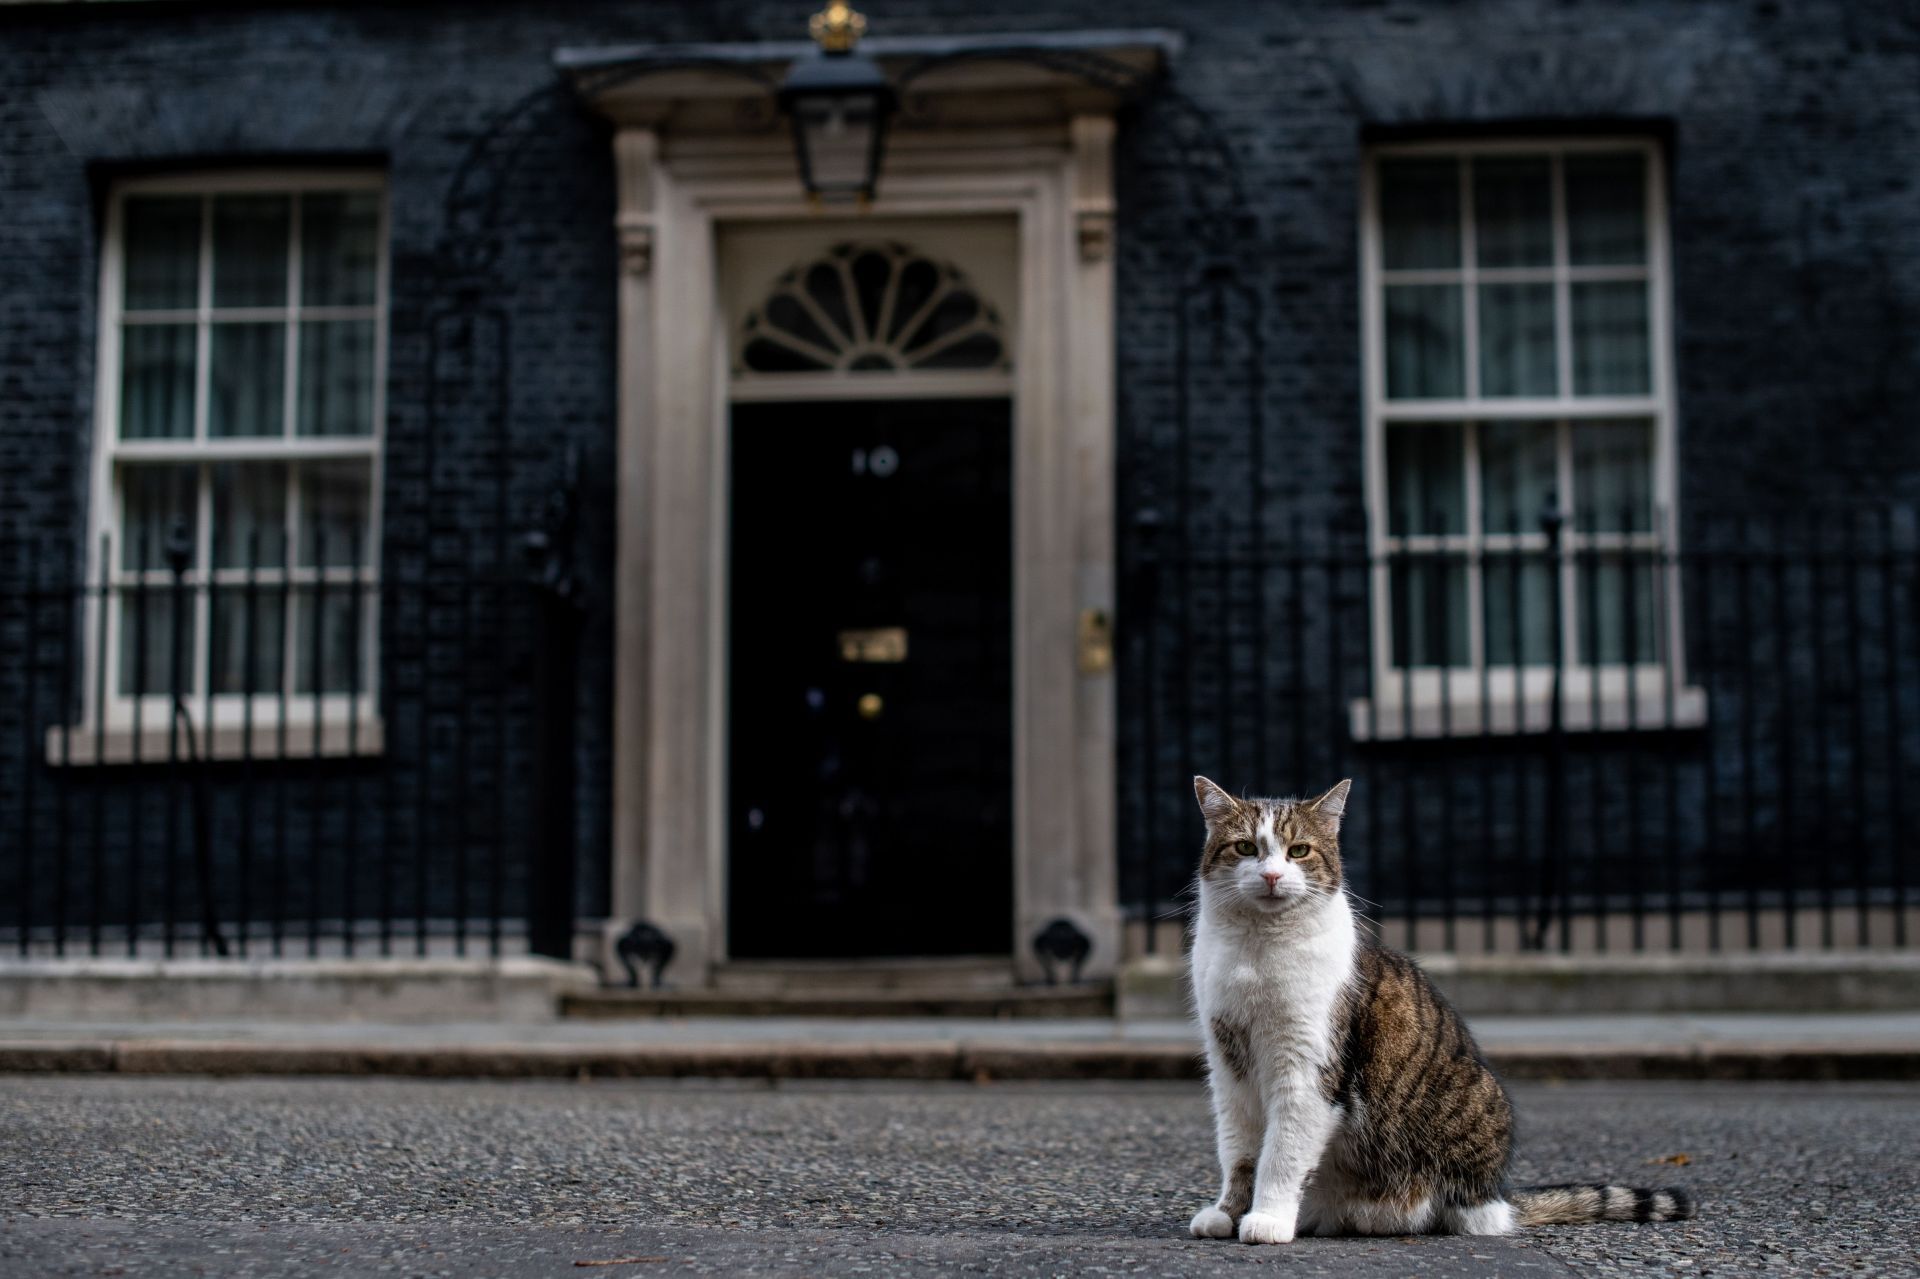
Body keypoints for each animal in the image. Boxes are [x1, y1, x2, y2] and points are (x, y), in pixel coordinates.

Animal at [1182, 772, 1697, 1236]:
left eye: (1299, 851)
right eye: (1245, 849)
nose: (1271, 875)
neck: (1257, 950)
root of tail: (1500, 1197)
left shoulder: (1308, 1069)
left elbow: (1282, 1155)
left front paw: (1267, 1219)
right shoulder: (1228, 1064)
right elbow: (1239, 1152)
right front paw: (1227, 1214)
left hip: (1477, 1105)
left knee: (1464, 1217)